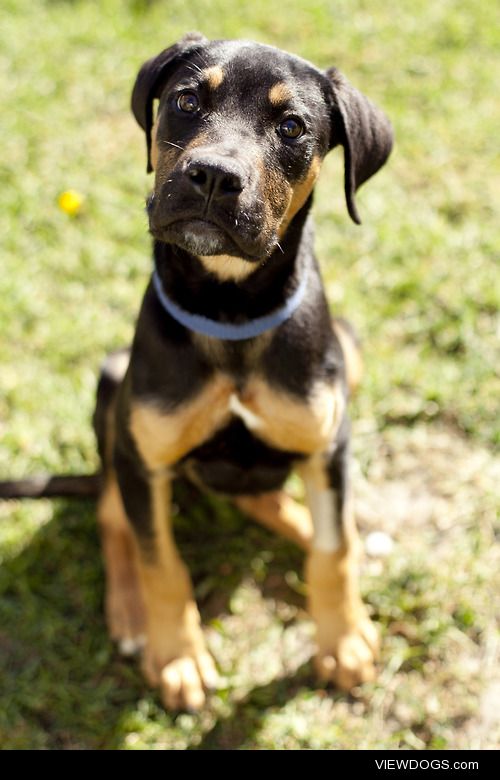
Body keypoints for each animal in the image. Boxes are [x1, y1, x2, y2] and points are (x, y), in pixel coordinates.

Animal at [2, 33, 394, 708]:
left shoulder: (329, 444)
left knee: (279, 503)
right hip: (114, 390)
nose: (213, 175)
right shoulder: (145, 454)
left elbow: (335, 547)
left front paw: (343, 640)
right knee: (113, 513)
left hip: (346, 358)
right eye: (186, 101)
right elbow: (161, 560)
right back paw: (131, 614)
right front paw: (178, 655)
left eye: (292, 127)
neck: (230, 309)